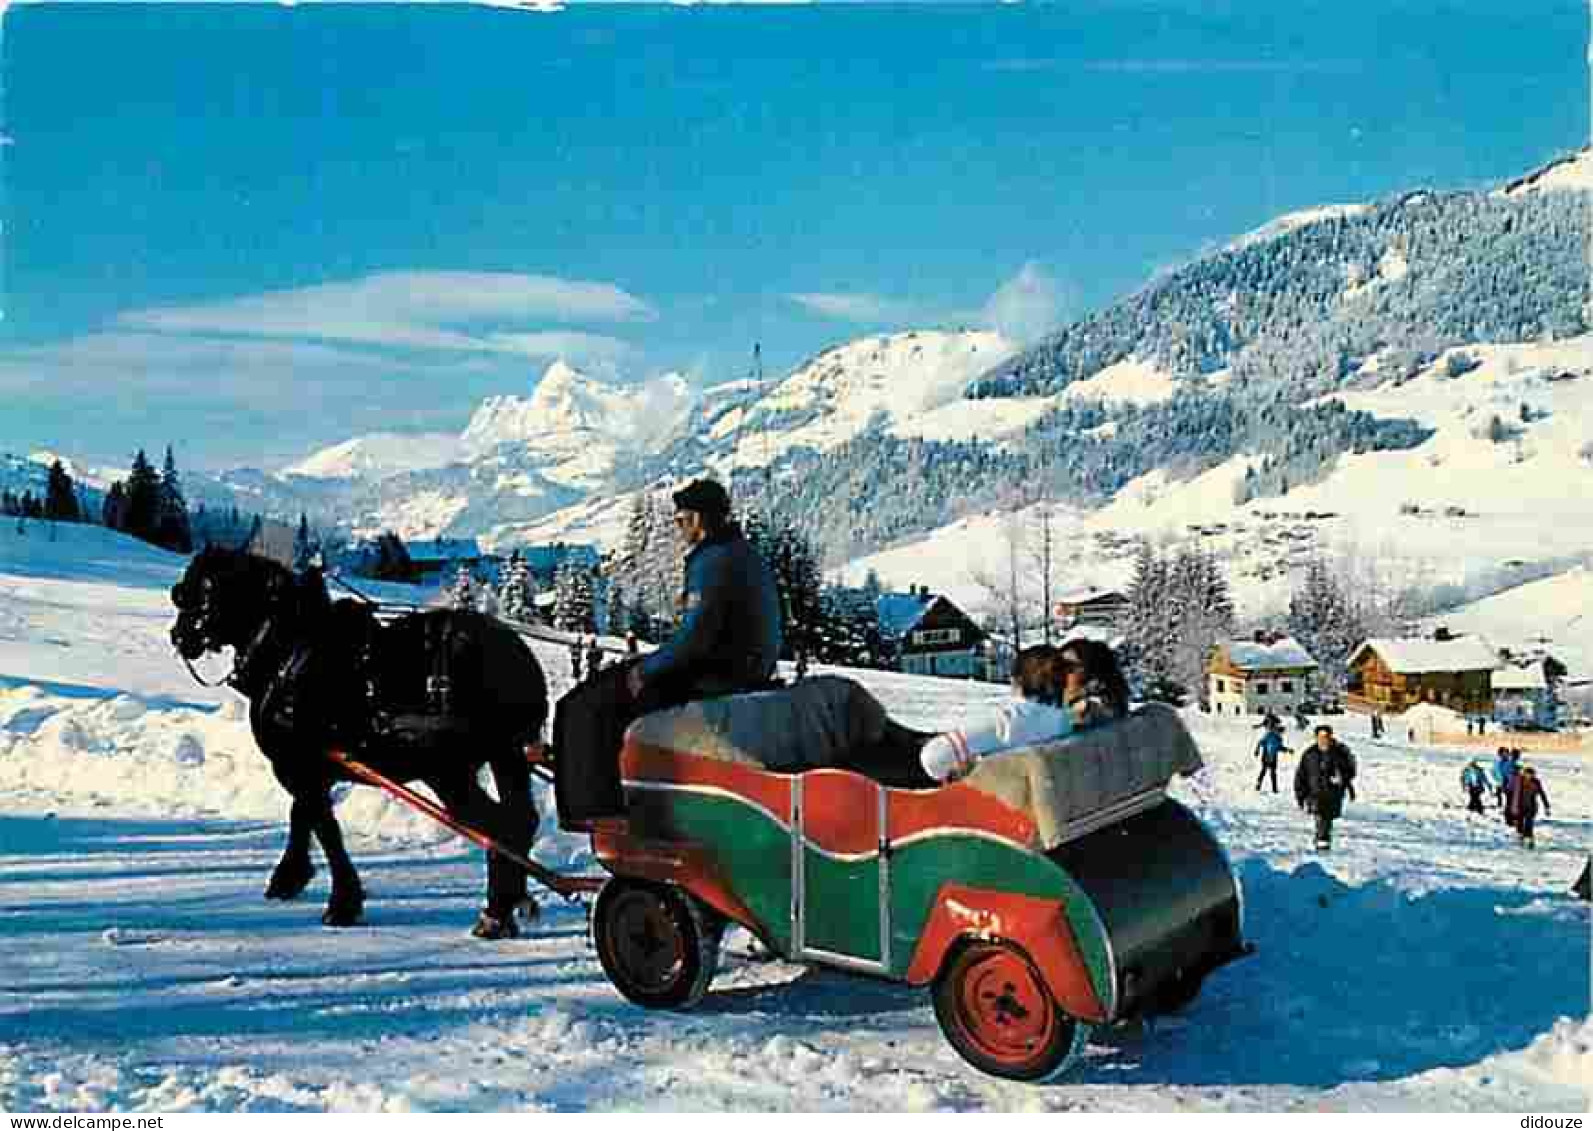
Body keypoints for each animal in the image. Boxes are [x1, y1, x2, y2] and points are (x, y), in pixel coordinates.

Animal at [169, 547, 547, 936]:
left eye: (194, 590)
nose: (178, 637)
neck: (287, 651)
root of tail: (518, 662)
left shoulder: (298, 764)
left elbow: (325, 828)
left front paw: (341, 903)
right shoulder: (312, 767)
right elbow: (302, 816)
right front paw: (290, 877)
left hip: (450, 769)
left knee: (497, 826)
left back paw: (496, 913)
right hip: (505, 757)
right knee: (519, 821)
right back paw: (509, 906)